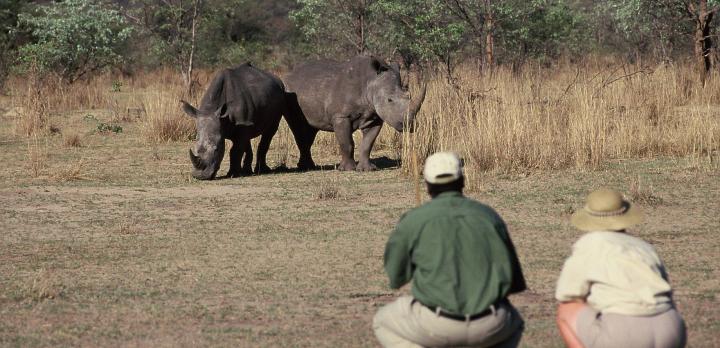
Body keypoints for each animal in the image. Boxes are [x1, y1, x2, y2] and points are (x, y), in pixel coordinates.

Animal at [282, 54, 428, 173]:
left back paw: (307, 167)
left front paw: (367, 169)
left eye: (408, 97)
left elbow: (368, 144)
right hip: (289, 91)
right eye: (389, 100)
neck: (370, 82)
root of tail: (290, 74)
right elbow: (347, 143)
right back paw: (306, 168)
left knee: (310, 130)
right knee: (299, 128)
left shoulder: (375, 118)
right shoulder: (341, 116)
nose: (409, 125)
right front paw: (347, 169)